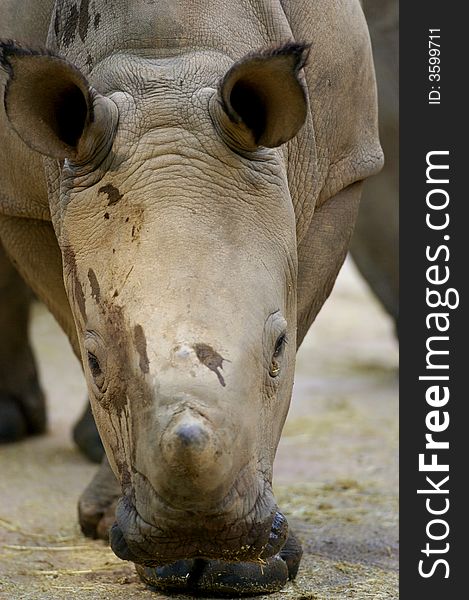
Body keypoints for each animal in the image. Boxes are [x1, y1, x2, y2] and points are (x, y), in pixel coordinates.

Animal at [0, 0, 380, 592]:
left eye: (278, 348)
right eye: (96, 362)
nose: (199, 530)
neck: (167, 69)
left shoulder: (346, 168)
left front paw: (242, 571)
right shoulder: (21, 200)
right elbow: (67, 317)